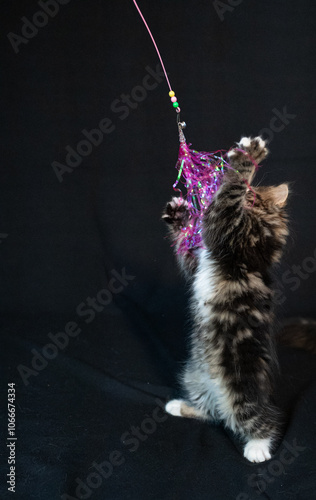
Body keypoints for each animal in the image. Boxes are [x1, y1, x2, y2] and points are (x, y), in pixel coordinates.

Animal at [162, 136, 290, 460]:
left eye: (254, 196)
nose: (250, 192)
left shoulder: (228, 230)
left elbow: (226, 200)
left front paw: (246, 159)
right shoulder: (200, 260)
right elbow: (188, 253)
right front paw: (179, 214)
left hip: (241, 389)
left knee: (259, 421)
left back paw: (258, 448)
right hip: (194, 377)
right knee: (211, 414)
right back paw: (180, 406)